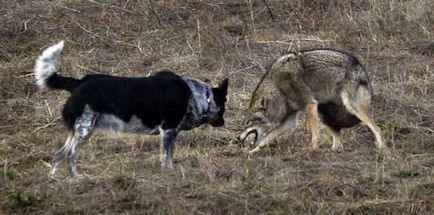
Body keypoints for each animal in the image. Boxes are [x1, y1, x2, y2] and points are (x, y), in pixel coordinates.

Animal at [34, 41, 231, 176]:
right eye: (224, 106)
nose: (223, 123)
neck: (196, 95)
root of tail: (79, 82)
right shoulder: (167, 131)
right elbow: (165, 158)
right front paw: (168, 174)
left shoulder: (172, 133)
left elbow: (169, 156)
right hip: (84, 130)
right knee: (70, 155)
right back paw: (77, 178)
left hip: (81, 132)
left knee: (58, 155)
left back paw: (56, 180)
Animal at [239, 48, 384, 153]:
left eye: (247, 123)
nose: (237, 138)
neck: (278, 88)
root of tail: (360, 65)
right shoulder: (290, 120)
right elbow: (266, 138)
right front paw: (253, 151)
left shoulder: (310, 104)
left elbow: (315, 134)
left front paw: (312, 150)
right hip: (325, 112)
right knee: (338, 141)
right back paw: (331, 151)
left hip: (351, 107)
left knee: (377, 129)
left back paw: (381, 149)